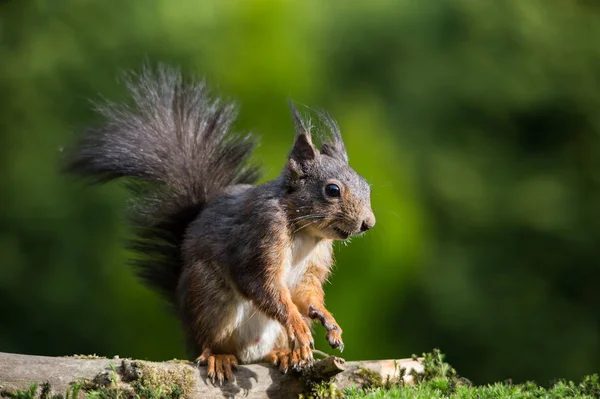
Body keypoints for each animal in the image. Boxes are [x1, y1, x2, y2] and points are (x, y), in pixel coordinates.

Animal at [65, 65, 376, 384]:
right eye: (332, 190)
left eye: (366, 186)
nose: (368, 224)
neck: (305, 233)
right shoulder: (260, 237)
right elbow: (264, 286)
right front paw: (298, 324)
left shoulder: (313, 265)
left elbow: (306, 294)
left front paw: (328, 320)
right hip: (211, 302)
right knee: (210, 343)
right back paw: (219, 356)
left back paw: (283, 353)